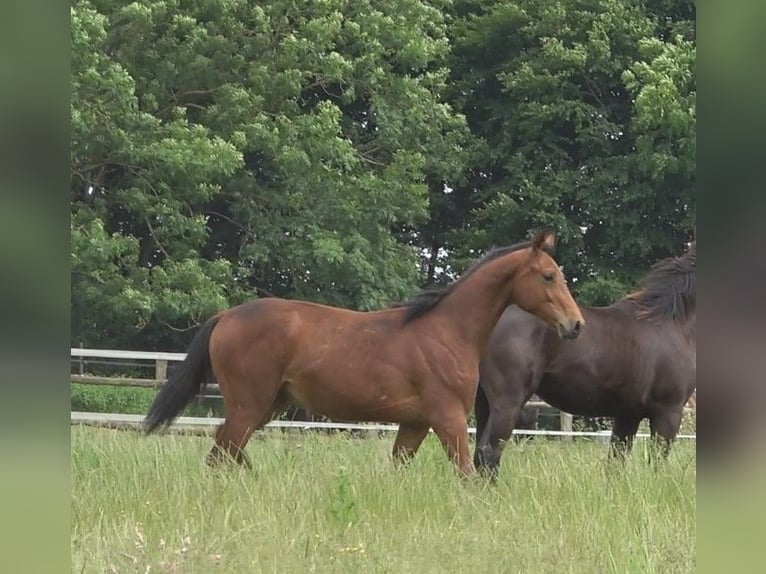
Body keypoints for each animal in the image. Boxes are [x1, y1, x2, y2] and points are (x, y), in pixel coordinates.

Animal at [147, 232, 584, 480]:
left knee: (228, 453)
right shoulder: (448, 418)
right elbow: (466, 475)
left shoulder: (415, 425)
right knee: (221, 455)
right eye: (548, 276)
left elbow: (398, 470)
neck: (447, 331)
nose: (575, 324)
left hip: (268, 405)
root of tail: (226, 316)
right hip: (248, 405)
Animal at [474, 241, 696, 480]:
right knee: (490, 451)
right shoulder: (668, 413)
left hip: (483, 402)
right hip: (507, 402)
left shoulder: (628, 415)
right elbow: (656, 465)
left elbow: (615, 463)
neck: (674, 323)